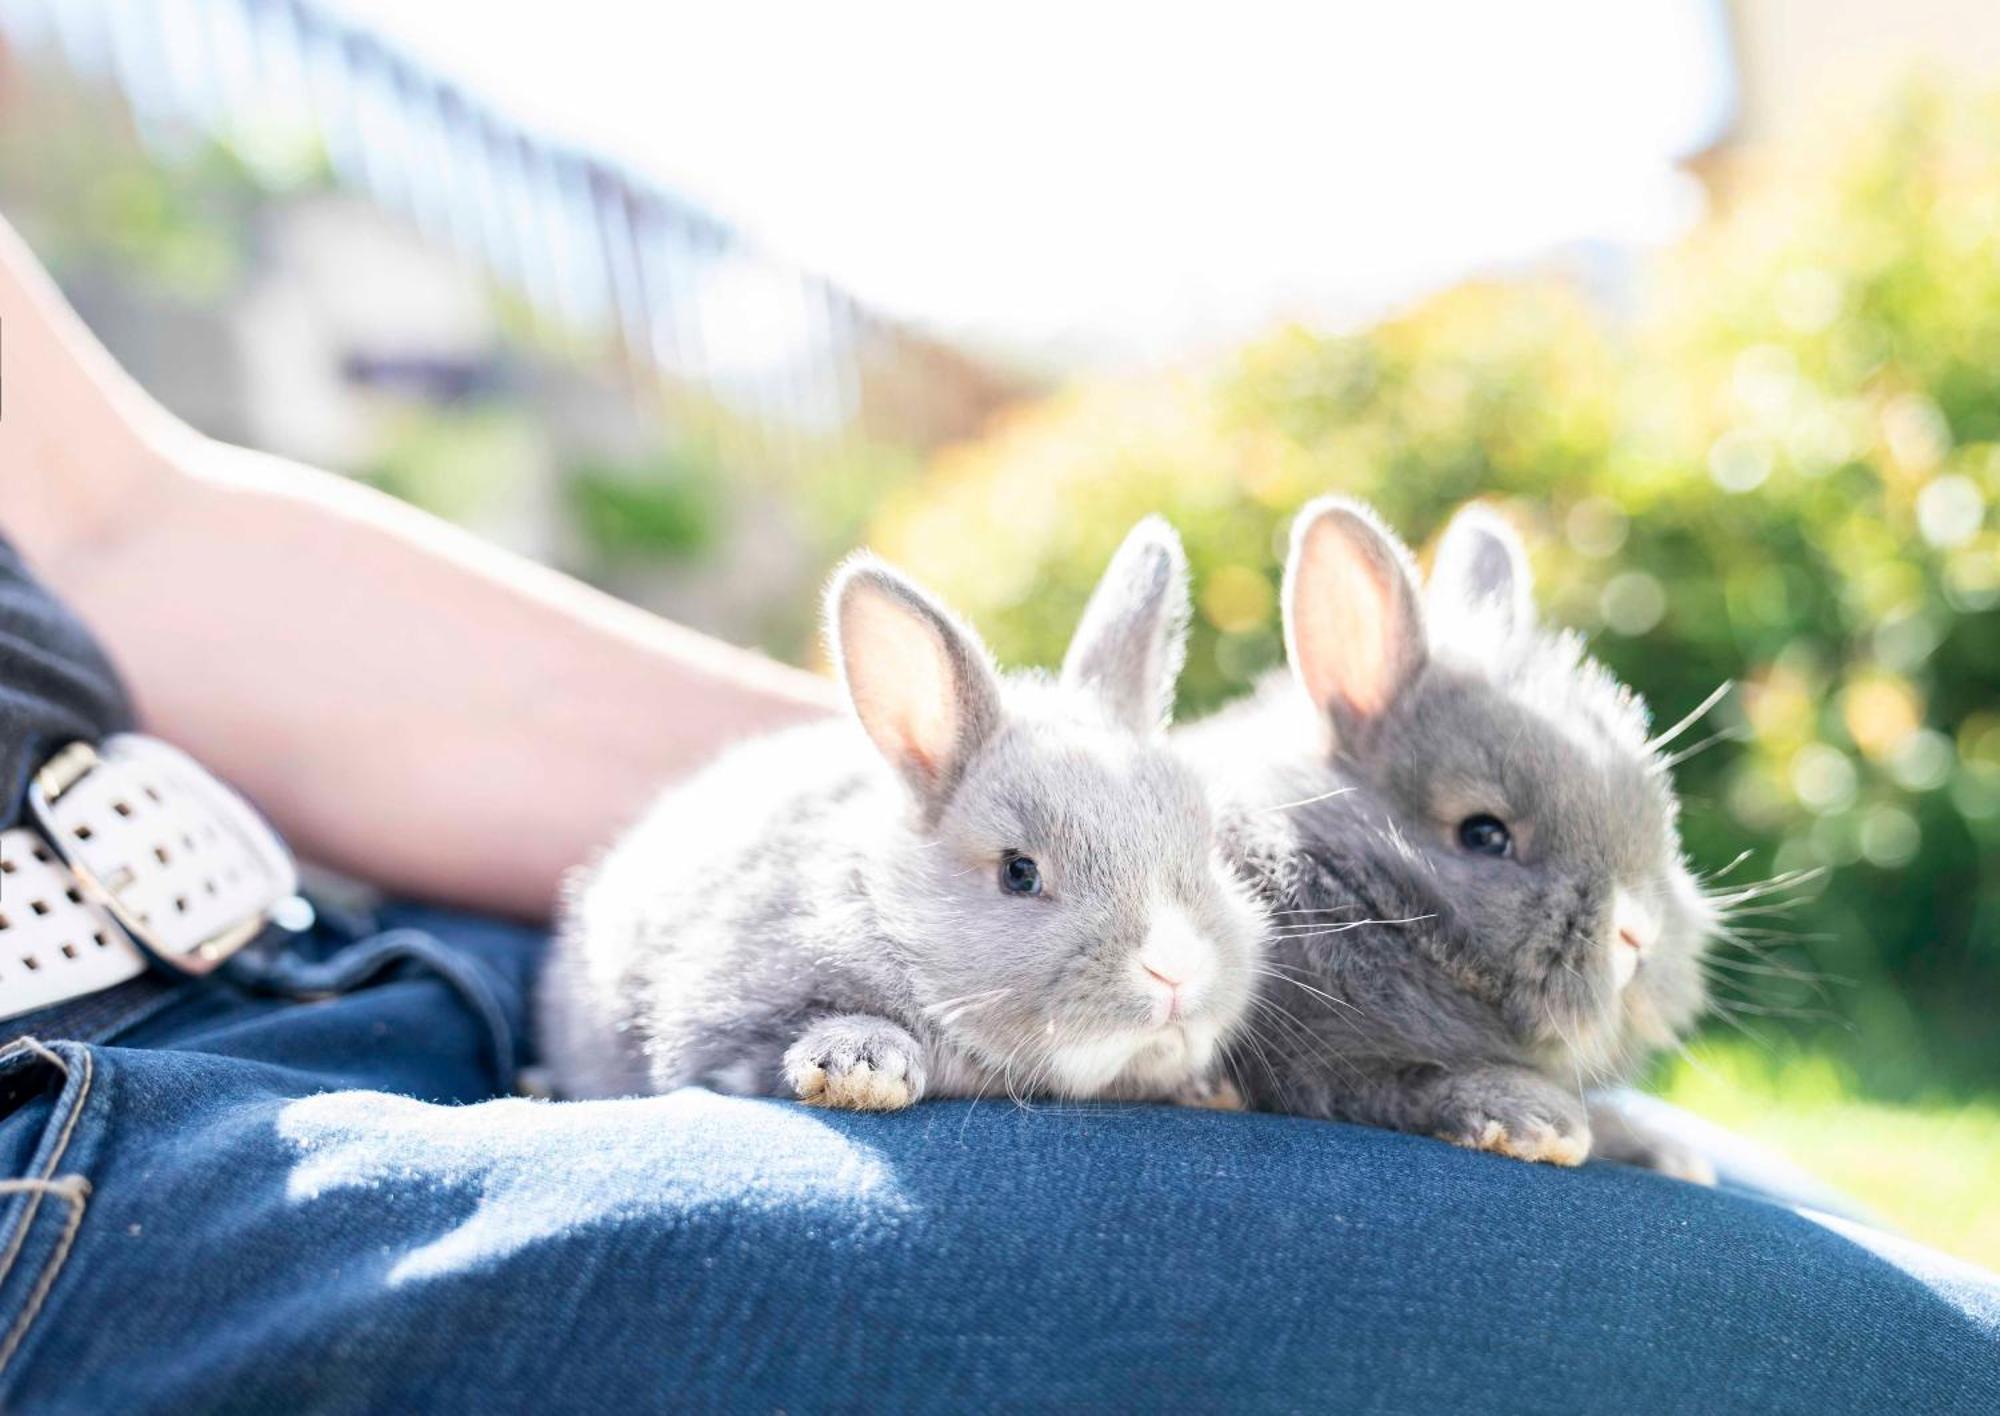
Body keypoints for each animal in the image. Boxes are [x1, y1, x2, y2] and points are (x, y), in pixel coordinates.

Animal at [544, 516, 1264, 1112]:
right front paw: (862, 1068)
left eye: (1208, 849)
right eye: (1019, 872)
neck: (889, 918)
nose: (1177, 969)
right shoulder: (722, 1014)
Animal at [1184, 498, 1720, 1176]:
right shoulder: (1312, 1059)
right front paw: (1537, 1122)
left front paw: (1668, 1154)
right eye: (1483, 834)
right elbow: (1402, 1082)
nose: (1637, 934)